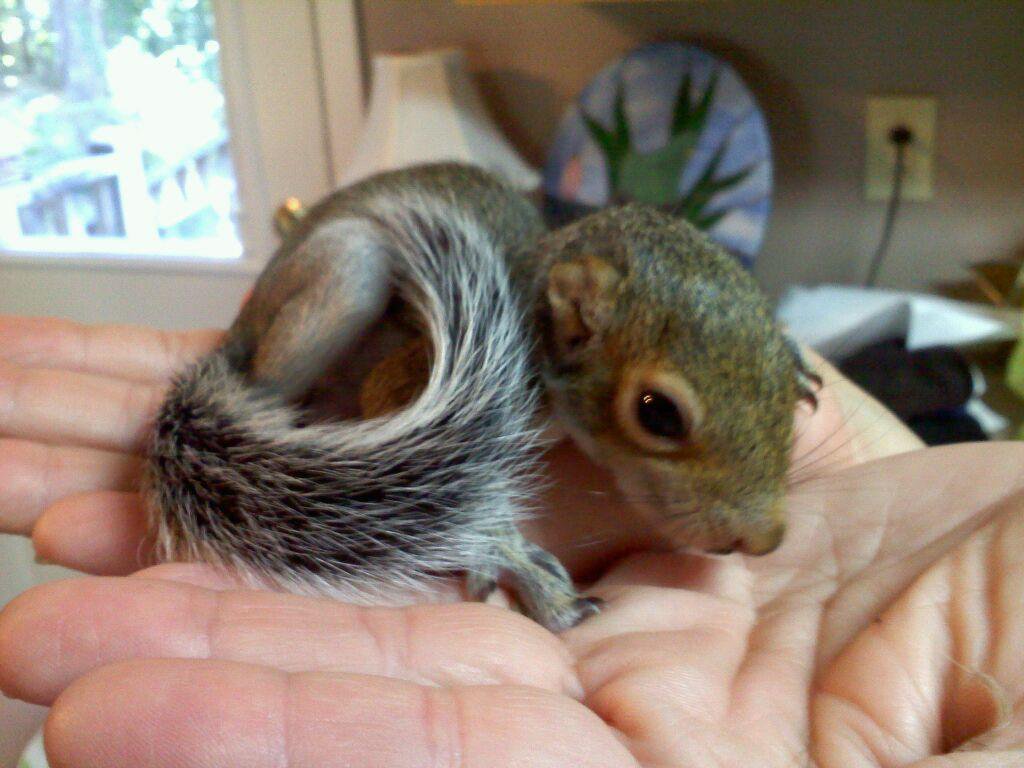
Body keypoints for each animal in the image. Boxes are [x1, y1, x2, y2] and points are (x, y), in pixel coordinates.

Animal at [146, 160, 815, 630]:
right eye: (658, 414)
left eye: (779, 356)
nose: (764, 540)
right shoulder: (408, 375)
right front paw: (504, 551)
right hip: (343, 273)